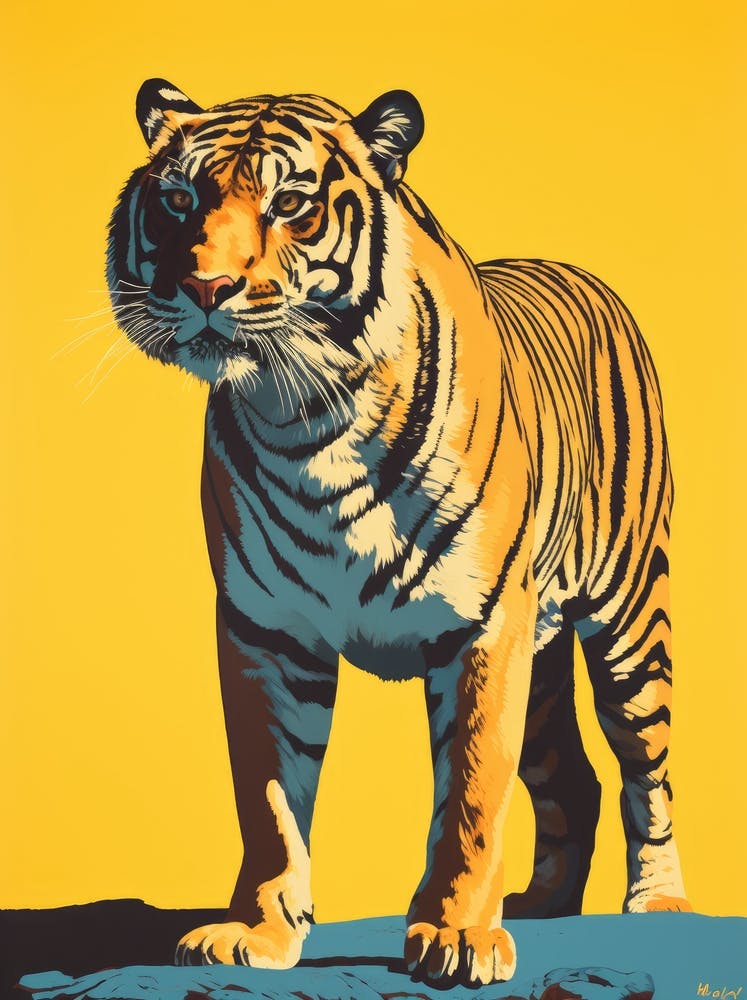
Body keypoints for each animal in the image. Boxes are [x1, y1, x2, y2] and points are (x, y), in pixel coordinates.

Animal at [107, 78, 691, 986]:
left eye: (290, 204)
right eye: (177, 201)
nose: (205, 288)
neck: (305, 419)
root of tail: (576, 269)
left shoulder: (483, 628)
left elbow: (472, 795)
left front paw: (457, 936)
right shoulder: (264, 631)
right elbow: (268, 799)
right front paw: (256, 933)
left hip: (628, 622)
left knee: (646, 768)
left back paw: (657, 904)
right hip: (543, 659)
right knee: (573, 780)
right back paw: (543, 904)